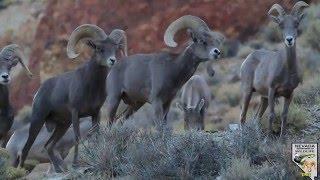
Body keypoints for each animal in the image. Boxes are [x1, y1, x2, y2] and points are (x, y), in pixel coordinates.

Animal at [19, 23, 127, 172]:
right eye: (99, 48)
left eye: (115, 48)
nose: (112, 60)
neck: (91, 86)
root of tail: (38, 93)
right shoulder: (75, 113)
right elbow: (77, 138)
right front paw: (76, 164)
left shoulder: (95, 113)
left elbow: (97, 134)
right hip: (37, 121)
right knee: (26, 149)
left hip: (62, 125)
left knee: (48, 146)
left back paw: (58, 170)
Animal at [239, 1, 308, 137]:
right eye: (281, 25)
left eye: (296, 23)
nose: (289, 39)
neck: (287, 71)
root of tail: (247, 59)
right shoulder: (272, 91)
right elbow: (271, 115)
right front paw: (268, 139)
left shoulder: (289, 94)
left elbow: (284, 116)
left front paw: (282, 139)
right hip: (248, 91)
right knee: (243, 116)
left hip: (263, 98)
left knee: (256, 118)